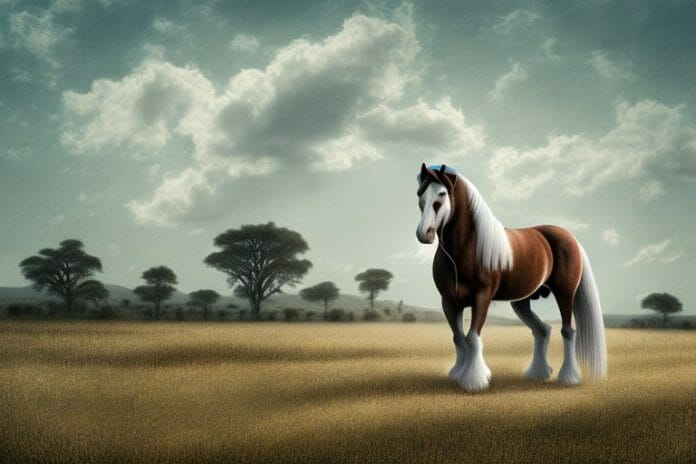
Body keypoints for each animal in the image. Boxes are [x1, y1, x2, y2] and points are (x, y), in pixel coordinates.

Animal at [416, 163, 607, 392]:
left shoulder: (482, 297)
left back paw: (568, 377)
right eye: (420, 193)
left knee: (568, 331)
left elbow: (472, 337)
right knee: (542, 330)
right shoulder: (450, 301)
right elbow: (458, 338)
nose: (424, 233)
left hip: (565, 294)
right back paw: (538, 373)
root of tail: (571, 238)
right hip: (521, 302)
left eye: (442, 194)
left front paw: (474, 380)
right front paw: (458, 374)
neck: (465, 248)